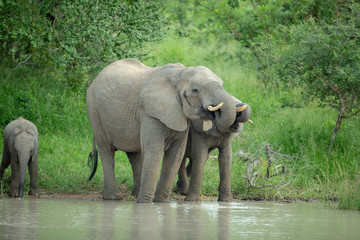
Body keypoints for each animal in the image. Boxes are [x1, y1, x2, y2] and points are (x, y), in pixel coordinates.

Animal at [87, 58, 239, 202]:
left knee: (133, 153)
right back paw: (113, 197)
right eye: (195, 90)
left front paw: (161, 202)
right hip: (94, 110)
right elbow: (154, 150)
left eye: (222, 84)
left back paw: (134, 194)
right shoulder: (149, 112)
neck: (179, 73)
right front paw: (145, 203)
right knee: (106, 149)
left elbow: (176, 154)